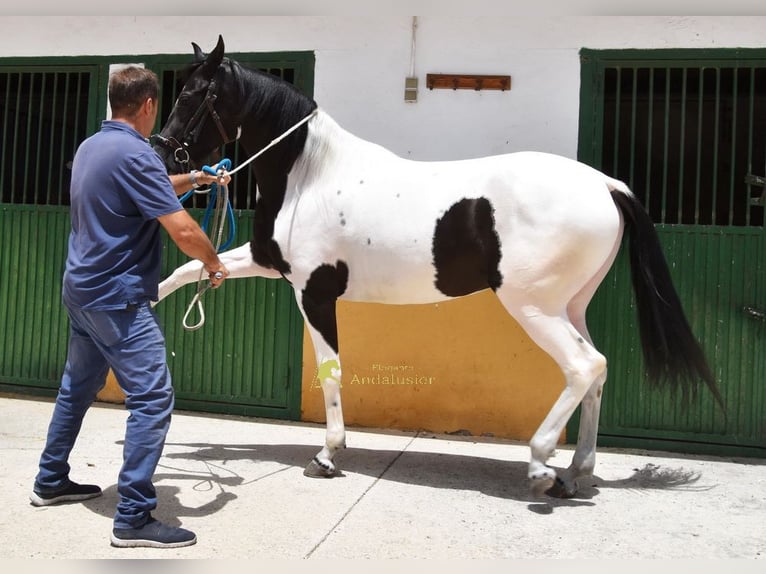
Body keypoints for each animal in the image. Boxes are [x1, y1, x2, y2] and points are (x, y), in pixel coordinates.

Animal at [153, 35, 723, 497]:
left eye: (191, 94)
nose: (164, 153)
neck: (310, 175)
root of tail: (606, 184)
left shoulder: (313, 291)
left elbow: (331, 370)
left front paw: (327, 455)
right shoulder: (271, 262)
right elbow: (189, 271)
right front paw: (146, 301)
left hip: (533, 307)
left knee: (585, 366)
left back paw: (543, 466)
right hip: (571, 305)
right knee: (596, 372)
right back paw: (578, 470)